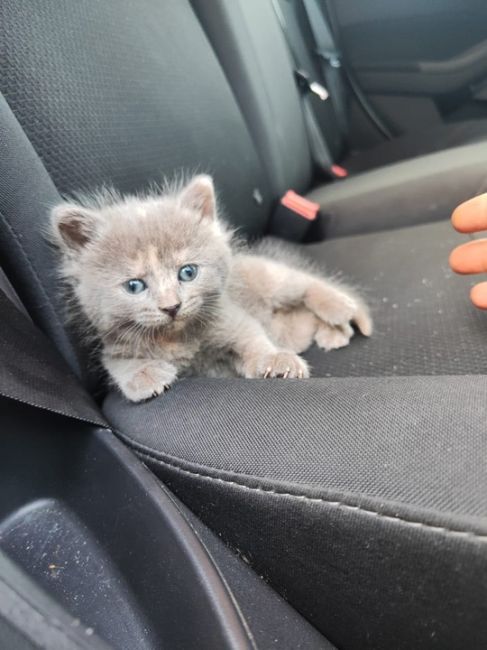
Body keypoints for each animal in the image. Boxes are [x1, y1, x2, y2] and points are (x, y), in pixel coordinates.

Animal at [50, 176, 374, 400]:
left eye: (188, 272)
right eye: (134, 285)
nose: (171, 306)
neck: (177, 340)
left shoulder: (232, 317)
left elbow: (253, 338)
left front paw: (275, 360)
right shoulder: (114, 344)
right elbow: (117, 364)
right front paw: (144, 376)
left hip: (273, 280)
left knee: (309, 284)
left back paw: (340, 309)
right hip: (291, 325)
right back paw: (334, 333)